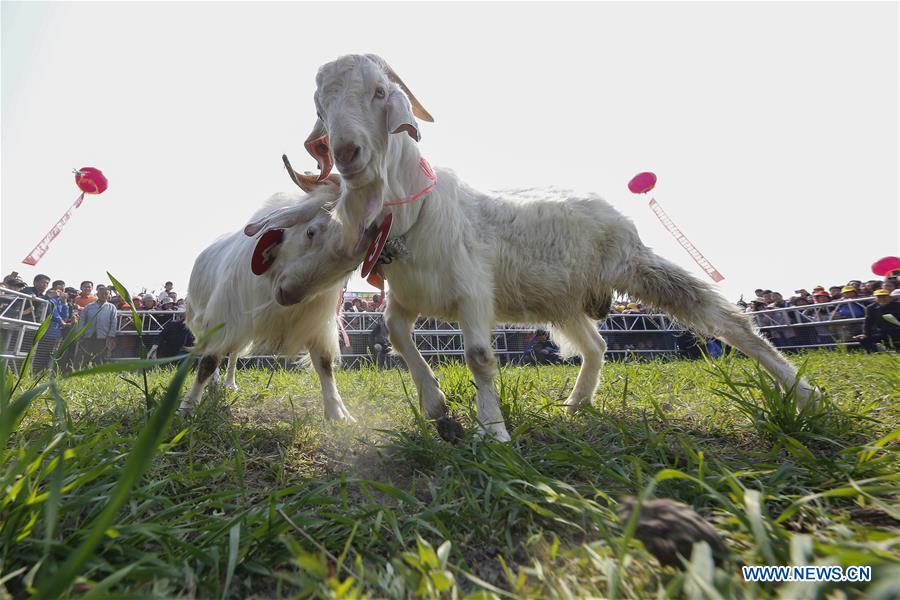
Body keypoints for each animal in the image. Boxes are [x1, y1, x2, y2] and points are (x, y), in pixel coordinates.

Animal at [181, 177, 368, 422]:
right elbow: (208, 362)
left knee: (233, 354)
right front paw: (188, 406)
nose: (289, 295)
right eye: (310, 232)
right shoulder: (225, 316)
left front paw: (338, 414)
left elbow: (324, 363)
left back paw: (230, 384)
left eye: (352, 266)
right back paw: (215, 384)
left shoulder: (316, 323)